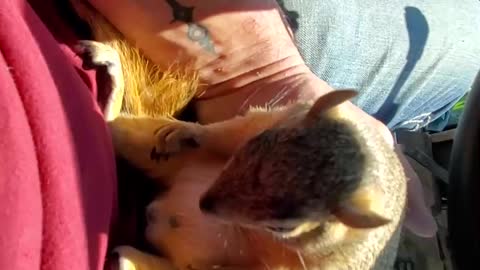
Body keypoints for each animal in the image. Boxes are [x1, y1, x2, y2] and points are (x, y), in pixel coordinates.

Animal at [66, 1, 404, 268]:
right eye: (255, 145)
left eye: (283, 228)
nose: (205, 204)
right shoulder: (266, 118)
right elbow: (228, 131)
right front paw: (187, 131)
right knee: (112, 125)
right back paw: (111, 68)